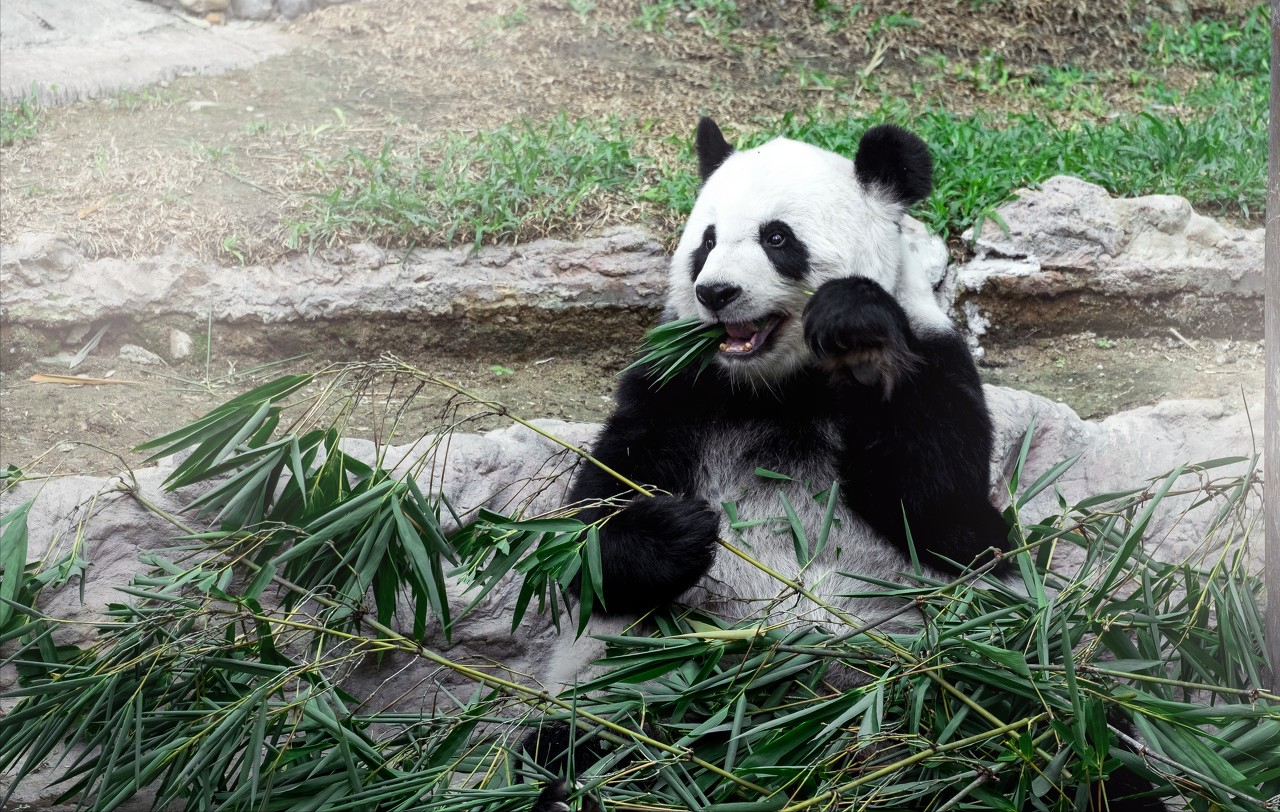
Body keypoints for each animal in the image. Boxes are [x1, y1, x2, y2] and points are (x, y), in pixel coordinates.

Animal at [524, 115, 1167, 809]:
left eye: (777, 237)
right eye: (707, 240)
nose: (715, 292)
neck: (778, 386)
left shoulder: (934, 357)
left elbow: (946, 513)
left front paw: (855, 324)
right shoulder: (676, 386)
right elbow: (582, 541)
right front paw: (679, 529)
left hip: (1000, 658)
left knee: (1072, 728)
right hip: (634, 685)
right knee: (576, 743)